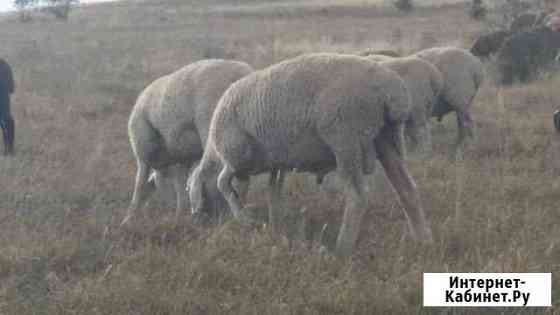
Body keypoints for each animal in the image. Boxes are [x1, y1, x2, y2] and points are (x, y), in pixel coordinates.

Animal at [124, 59, 254, 227]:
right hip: (145, 149)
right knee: (143, 182)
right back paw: (131, 217)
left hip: (178, 153)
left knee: (170, 181)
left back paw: (177, 213)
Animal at [188, 53, 434, 256]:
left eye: (190, 192)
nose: (196, 221)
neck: (213, 149)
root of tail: (391, 92)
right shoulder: (276, 163)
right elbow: (272, 192)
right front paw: (272, 225)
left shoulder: (236, 156)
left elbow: (222, 183)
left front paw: (245, 219)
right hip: (385, 139)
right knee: (407, 189)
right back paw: (422, 241)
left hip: (345, 139)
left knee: (358, 195)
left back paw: (341, 249)